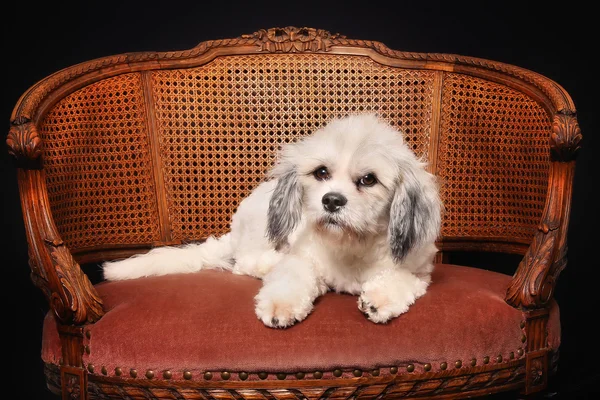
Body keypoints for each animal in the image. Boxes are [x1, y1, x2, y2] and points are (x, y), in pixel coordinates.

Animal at [102, 113, 440, 328]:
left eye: (369, 179)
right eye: (321, 172)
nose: (331, 200)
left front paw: (379, 300)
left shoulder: (418, 272)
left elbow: (399, 279)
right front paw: (281, 306)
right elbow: (291, 278)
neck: (350, 245)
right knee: (243, 264)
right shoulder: (301, 259)